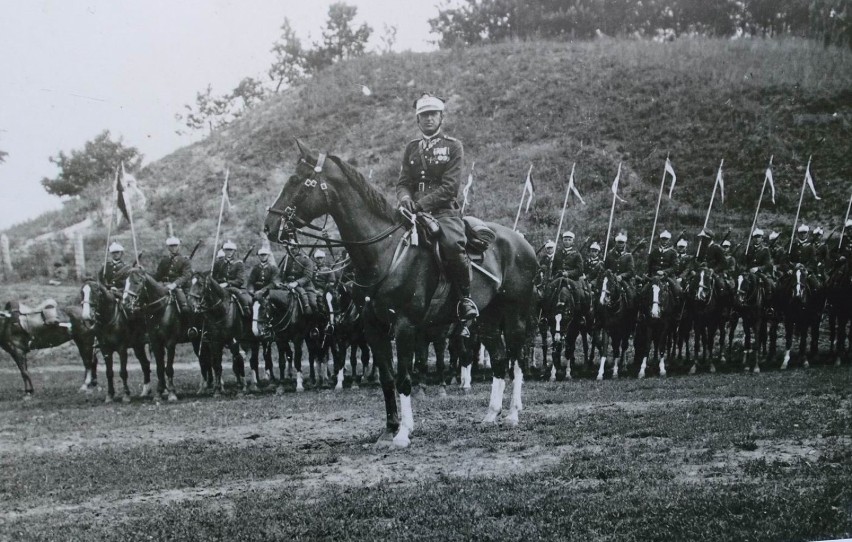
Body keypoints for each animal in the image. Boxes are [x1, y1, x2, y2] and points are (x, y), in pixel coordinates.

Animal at [262, 142, 536, 448]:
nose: (269, 226)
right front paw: (389, 428)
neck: (385, 251)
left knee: (516, 359)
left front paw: (403, 432)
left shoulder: (405, 325)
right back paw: (490, 415)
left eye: (296, 181)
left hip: (514, 315)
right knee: (499, 359)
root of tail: (521, 242)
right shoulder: (374, 327)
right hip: (486, 318)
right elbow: (387, 377)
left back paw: (512, 414)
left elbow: (405, 377)